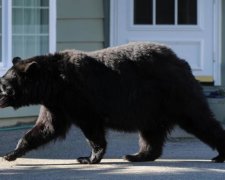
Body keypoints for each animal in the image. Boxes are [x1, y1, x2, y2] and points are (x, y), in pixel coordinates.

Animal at [0, 42, 225, 163]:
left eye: (5, 86)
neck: (54, 83)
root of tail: (183, 62)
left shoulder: (77, 96)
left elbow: (91, 126)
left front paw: (89, 157)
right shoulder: (55, 103)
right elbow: (46, 127)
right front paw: (11, 153)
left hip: (176, 93)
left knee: (200, 119)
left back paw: (220, 154)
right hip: (152, 106)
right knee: (151, 132)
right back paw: (137, 155)